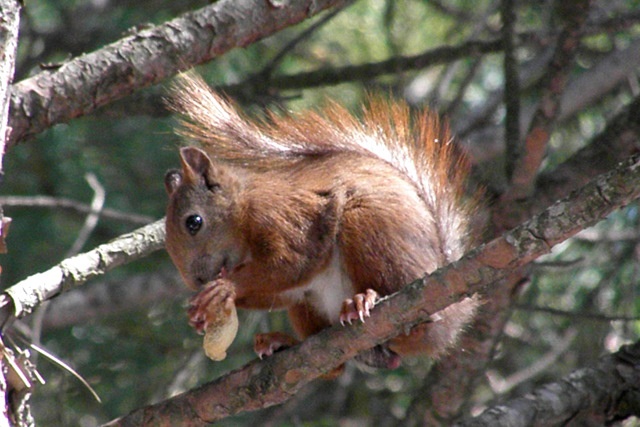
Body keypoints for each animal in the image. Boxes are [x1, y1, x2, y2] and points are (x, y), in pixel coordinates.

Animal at [164, 74, 480, 374]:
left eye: (194, 222)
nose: (198, 280)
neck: (242, 210)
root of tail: (453, 320)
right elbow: (282, 287)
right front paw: (197, 312)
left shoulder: (282, 215)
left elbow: (292, 263)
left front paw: (224, 288)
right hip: (309, 306)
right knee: (335, 367)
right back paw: (281, 342)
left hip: (370, 228)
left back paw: (366, 301)